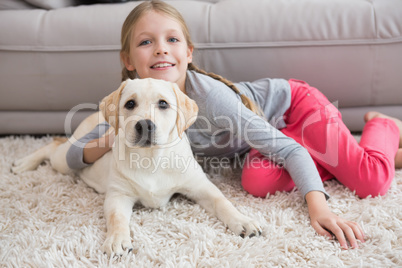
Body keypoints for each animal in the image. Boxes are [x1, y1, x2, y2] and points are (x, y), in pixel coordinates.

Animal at [11, 78, 260, 256]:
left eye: (163, 104)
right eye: (130, 103)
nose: (145, 125)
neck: (151, 159)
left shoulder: (199, 185)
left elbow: (222, 202)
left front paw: (243, 221)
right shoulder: (118, 195)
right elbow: (116, 218)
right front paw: (117, 240)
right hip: (65, 160)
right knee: (53, 145)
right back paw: (23, 163)